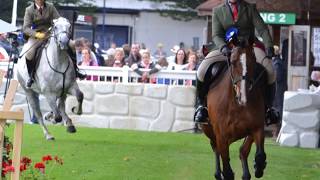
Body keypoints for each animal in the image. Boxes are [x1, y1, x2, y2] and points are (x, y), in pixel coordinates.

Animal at [202, 42, 268, 180]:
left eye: (253, 60)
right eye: (232, 62)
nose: (243, 95)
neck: (237, 104)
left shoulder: (257, 128)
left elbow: (258, 155)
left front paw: (258, 168)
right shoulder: (221, 136)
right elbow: (227, 170)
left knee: (242, 151)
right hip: (210, 132)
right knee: (216, 149)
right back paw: (218, 173)